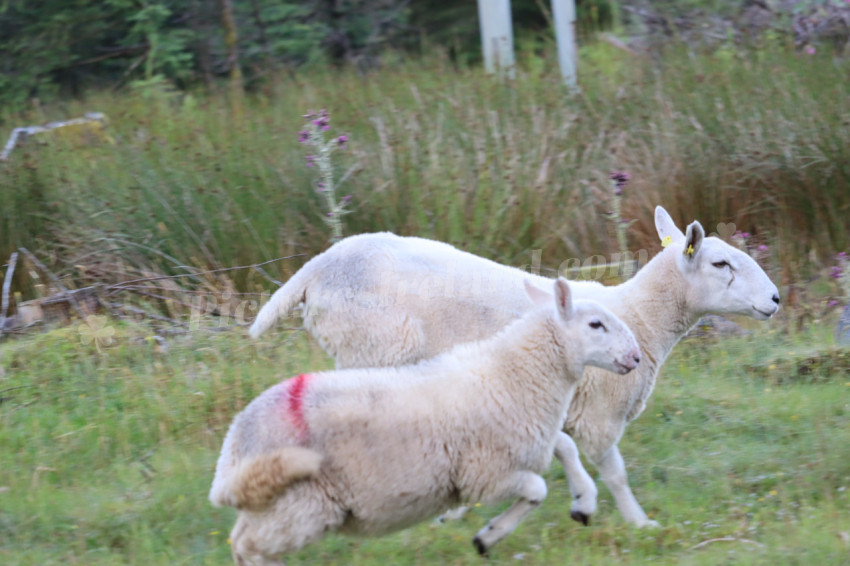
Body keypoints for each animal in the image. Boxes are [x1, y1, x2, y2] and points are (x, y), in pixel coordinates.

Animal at [210, 280, 636, 566]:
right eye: (596, 324)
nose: (635, 358)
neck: (516, 371)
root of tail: (237, 441)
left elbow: (560, 456)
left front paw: (580, 505)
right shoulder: (485, 471)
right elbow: (537, 490)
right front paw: (487, 537)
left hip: (272, 503)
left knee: (242, 541)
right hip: (300, 503)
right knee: (248, 546)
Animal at [248, 206, 780, 532]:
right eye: (721, 263)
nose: (776, 299)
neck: (641, 316)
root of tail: (317, 267)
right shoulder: (599, 415)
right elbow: (615, 473)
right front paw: (639, 523)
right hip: (372, 350)